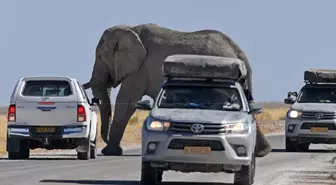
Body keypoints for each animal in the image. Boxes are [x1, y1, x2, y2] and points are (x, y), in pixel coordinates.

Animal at [82, 22, 272, 157]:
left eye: (100, 56)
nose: (101, 142)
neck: (130, 28)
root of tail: (238, 50)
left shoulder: (140, 69)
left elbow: (127, 102)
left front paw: (109, 152)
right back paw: (262, 152)